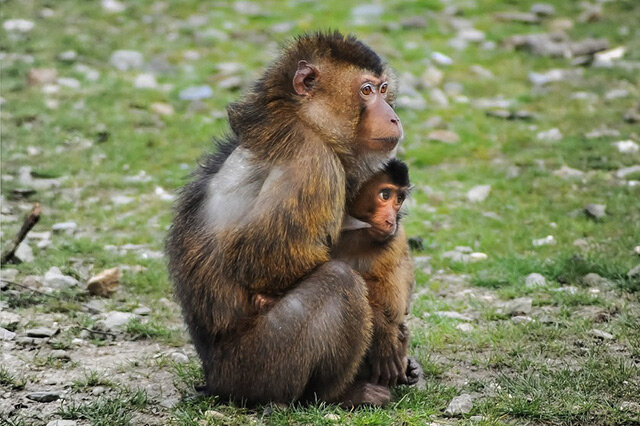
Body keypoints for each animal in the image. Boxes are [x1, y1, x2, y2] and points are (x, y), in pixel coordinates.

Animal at [168, 32, 402, 406]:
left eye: (383, 89)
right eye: (366, 91)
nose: (393, 117)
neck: (304, 120)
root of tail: (214, 377)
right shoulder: (313, 162)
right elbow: (262, 260)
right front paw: (383, 329)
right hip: (258, 365)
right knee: (340, 280)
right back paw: (340, 393)